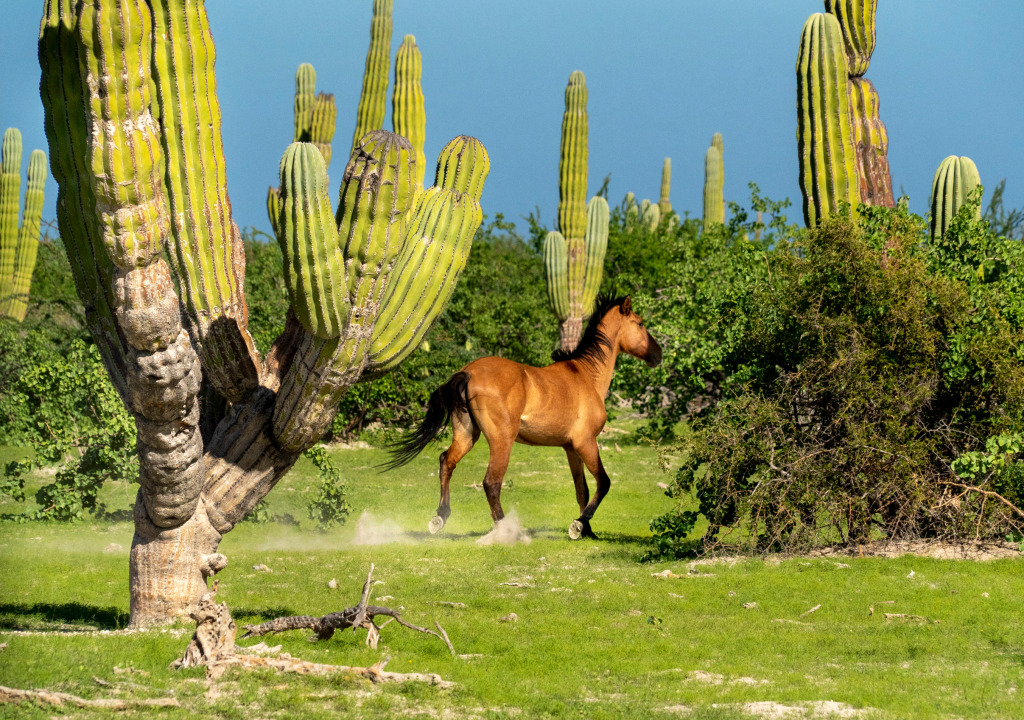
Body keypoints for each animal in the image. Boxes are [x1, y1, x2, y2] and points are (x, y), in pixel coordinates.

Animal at [385, 294, 663, 540]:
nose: (658, 355)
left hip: (466, 435)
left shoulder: (571, 448)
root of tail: (468, 373)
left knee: (446, 462)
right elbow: (603, 482)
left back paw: (440, 518)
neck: (585, 376)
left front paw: (587, 531)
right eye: (640, 323)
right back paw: (506, 529)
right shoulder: (586, 443)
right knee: (491, 482)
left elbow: (582, 490)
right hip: (502, 441)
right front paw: (578, 525)